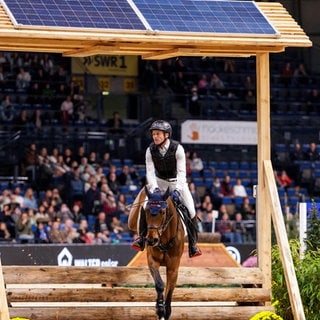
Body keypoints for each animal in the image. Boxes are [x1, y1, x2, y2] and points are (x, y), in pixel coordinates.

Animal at [128, 188, 185, 320]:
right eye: (146, 211)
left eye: (163, 212)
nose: (151, 240)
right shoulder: (152, 261)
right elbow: (159, 284)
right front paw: (159, 309)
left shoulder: (173, 267)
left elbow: (169, 289)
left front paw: (166, 310)